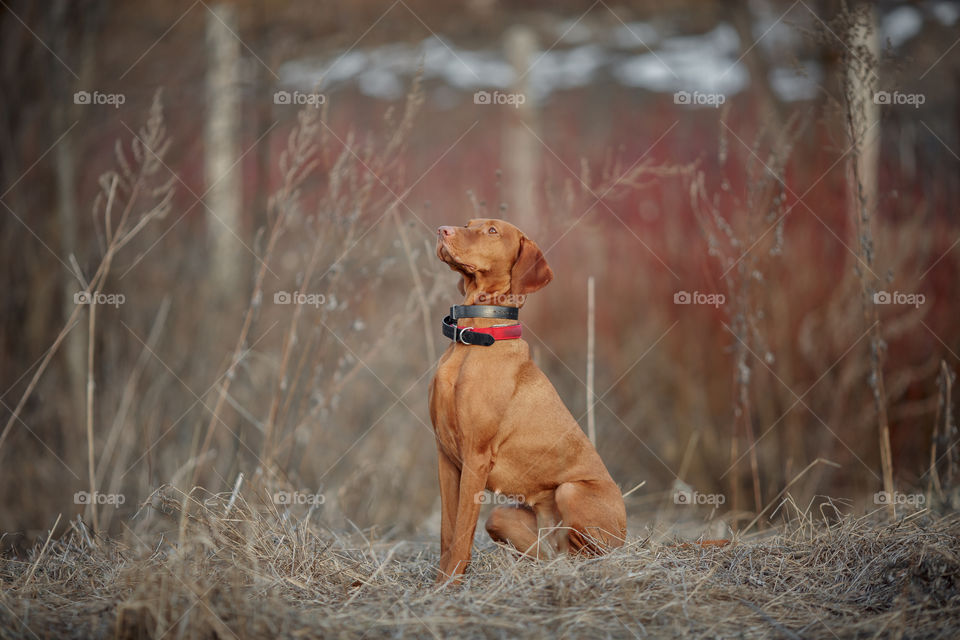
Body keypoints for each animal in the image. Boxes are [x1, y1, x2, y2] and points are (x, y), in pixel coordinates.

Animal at [430, 218, 628, 584]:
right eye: (467, 224)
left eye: (492, 231)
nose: (442, 230)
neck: (473, 339)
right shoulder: (446, 457)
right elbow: (447, 534)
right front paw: (438, 585)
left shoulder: (475, 456)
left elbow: (461, 536)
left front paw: (448, 585)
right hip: (503, 518)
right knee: (556, 555)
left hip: (572, 492)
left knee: (592, 554)